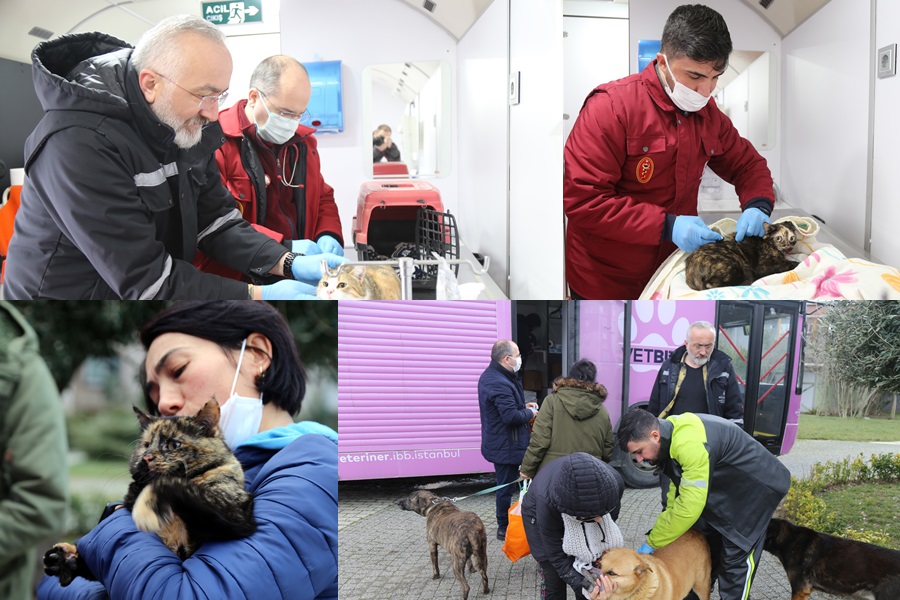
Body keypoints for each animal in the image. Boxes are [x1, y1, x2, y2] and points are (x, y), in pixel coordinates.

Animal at [45, 398, 256, 584]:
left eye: (173, 444)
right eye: (145, 445)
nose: (146, 458)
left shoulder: (234, 511)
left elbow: (170, 484)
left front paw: (145, 509)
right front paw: (66, 558)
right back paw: (61, 558)